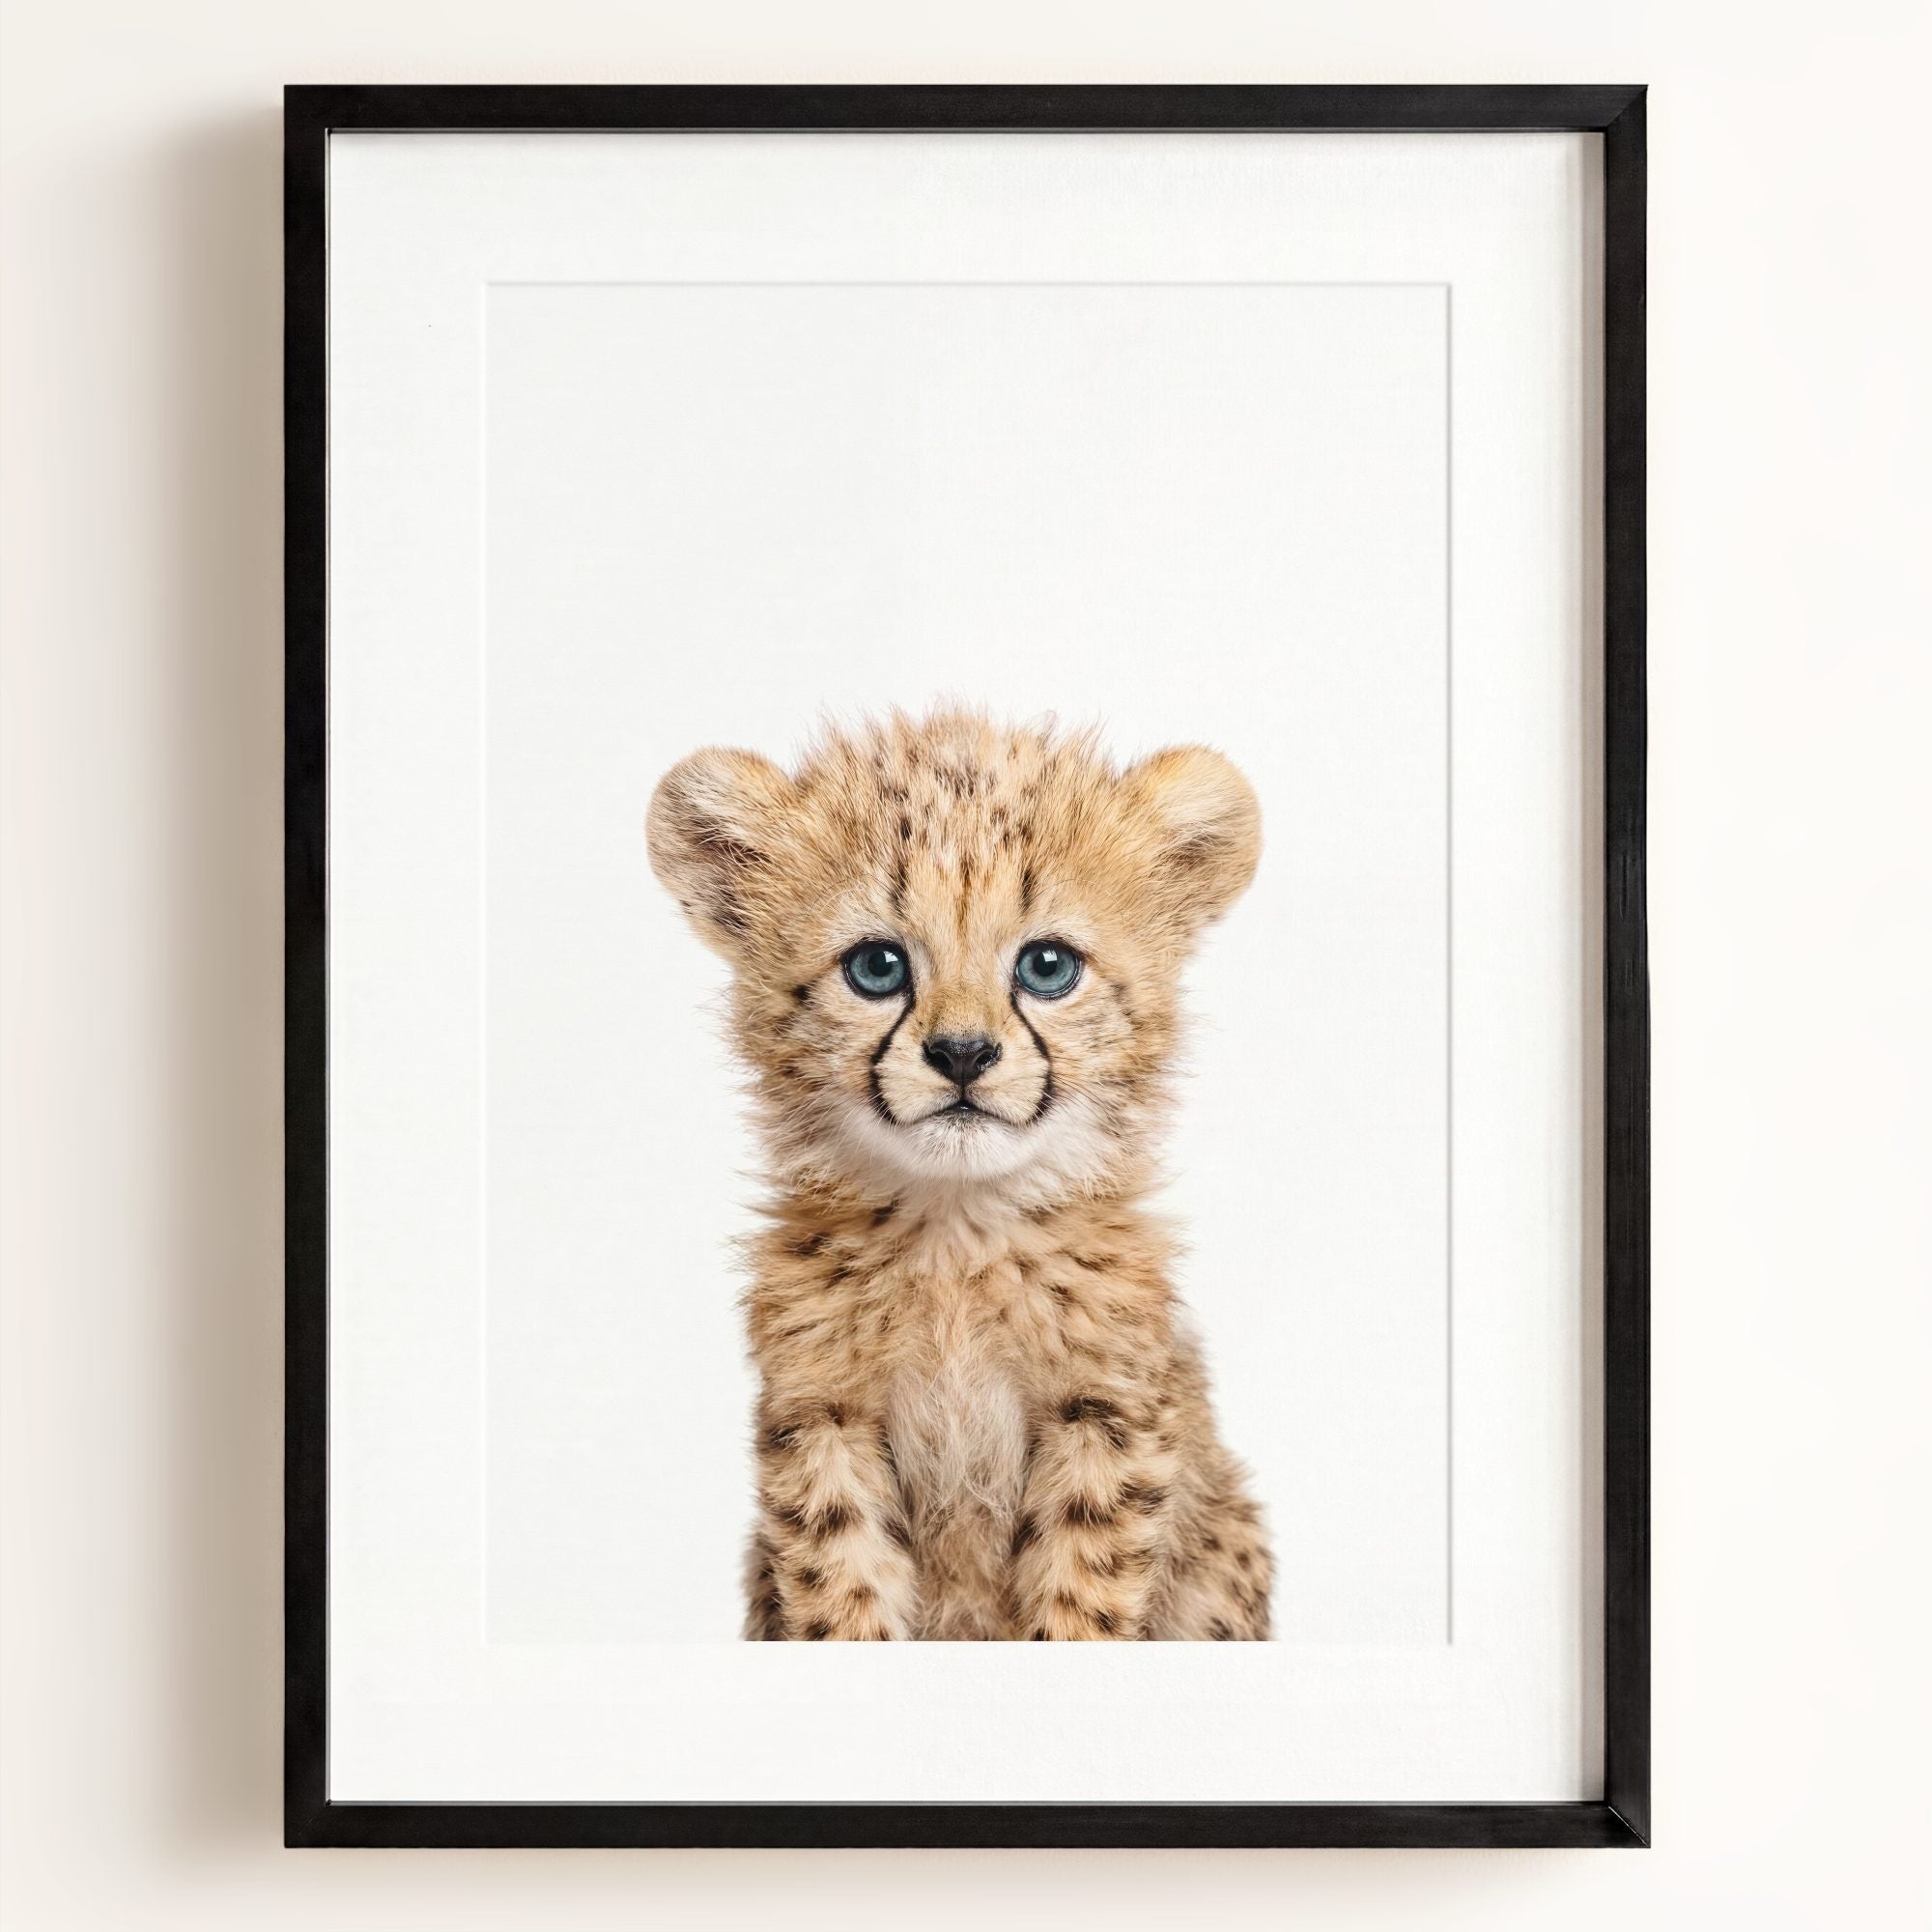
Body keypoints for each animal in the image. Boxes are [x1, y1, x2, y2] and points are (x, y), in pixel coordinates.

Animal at [647, 707, 1272, 1639]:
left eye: (1047, 967)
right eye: (877, 966)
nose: (964, 1054)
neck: (957, 1233)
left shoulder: (1105, 1413)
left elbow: (1082, 1597)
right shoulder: (822, 1418)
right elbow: (841, 1592)